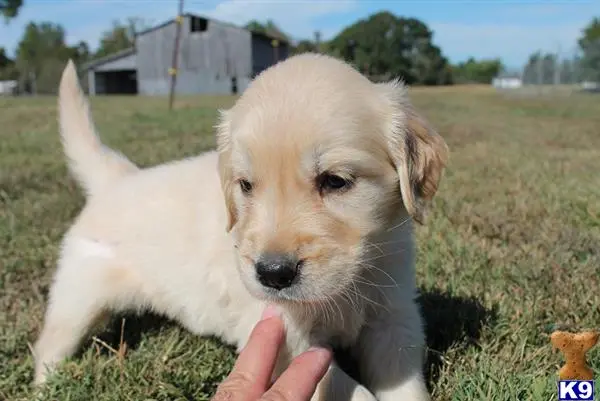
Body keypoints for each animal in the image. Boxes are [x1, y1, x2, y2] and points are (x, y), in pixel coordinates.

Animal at [31, 54, 446, 400]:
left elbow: (404, 384)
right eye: (246, 186)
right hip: (77, 298)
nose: (273, 274)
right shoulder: (286, 339)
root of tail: (116, 179)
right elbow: (351, 391)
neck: (349, 286)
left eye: (335, 181)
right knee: (48, 347)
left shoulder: (394, 320)